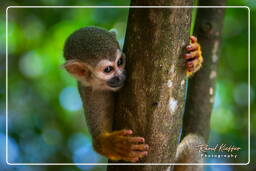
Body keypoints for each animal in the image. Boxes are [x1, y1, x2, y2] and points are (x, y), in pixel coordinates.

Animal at [62, 26, 202, 162]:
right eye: (108, 69)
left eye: (119, 62)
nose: (120, 77)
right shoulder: (91, 94)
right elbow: (98, 140)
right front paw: (113, 145)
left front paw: (195, 56)